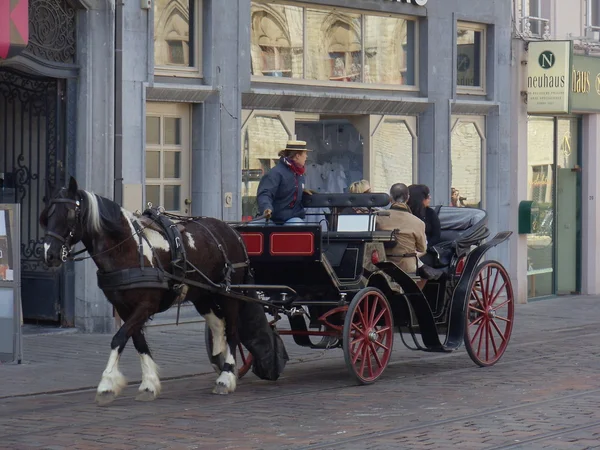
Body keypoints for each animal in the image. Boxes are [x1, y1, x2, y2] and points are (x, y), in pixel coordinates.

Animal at [39, 178, 250, 406]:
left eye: (69, 214)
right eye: (47, 215)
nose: (49, 254)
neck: (127, 249)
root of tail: (232, 231)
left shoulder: (145, 306)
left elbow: (119, 338)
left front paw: (106, 385)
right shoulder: (124, 308)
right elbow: (137, 341)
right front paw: (149, 384)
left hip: (230, 294)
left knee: (233, 331)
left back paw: (226, 377)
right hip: (203, 294)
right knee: (218, 325)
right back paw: (221, 364)